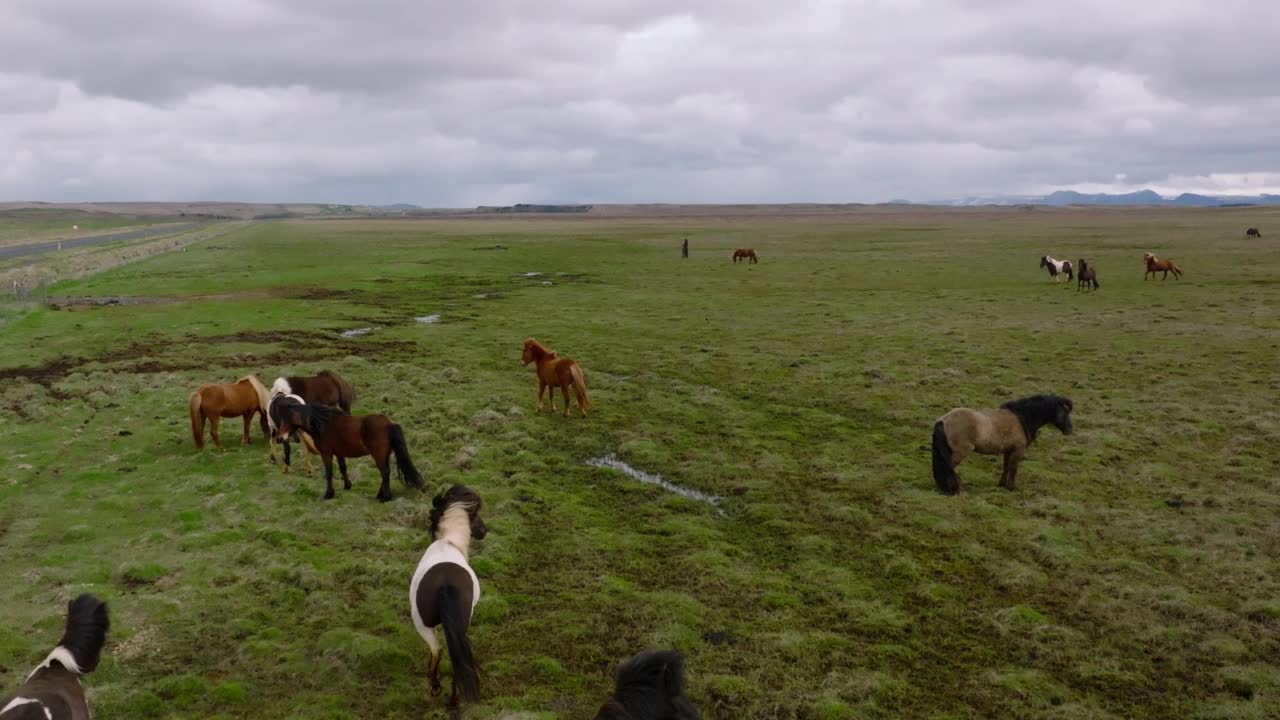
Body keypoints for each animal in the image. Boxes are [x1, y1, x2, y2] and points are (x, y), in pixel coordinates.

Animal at [272, 399, 422, 502]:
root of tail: (388, 424)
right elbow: (343, 469)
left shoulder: (326, 454)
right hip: (385, 455)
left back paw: (385, 497)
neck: (323, 424)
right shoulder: (339, 454)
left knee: (384, 473)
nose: (280, 437)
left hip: (378, 455)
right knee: (387, 472)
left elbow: (329, 473)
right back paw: (380, 495)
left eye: (287, 419)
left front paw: (329, 494)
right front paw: (347, 485)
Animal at [409, 484, 488, 702]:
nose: (484, 531)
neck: (449, 542)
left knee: (439, 651)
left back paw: (437, 689)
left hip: (423, 624)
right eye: (476, 514)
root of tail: (445, 585)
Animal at [931, 392, 1070, 491]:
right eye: (1064, 412)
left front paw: (1002, 484)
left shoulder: (1008, 450)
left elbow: (1006, 467)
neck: (1020, 418)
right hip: (960, 452)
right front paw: (1011, 488)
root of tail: (943, 420)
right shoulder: (1017, 450)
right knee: (947, 466)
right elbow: (1013, 468)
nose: (1069, 430)